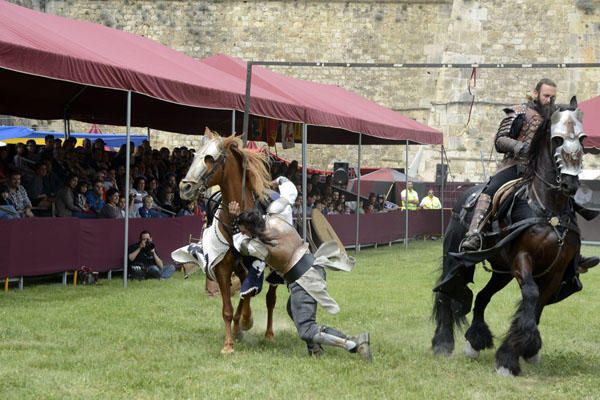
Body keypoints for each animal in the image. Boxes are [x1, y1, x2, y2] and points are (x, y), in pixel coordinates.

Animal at [179, 128, 276, 354]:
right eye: (194, 156)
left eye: (209, 158)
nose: (185, 188)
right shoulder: (223, 267)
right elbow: (228, 309)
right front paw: (229, 344)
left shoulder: (254, 267)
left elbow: (250, 293)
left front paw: (247, 321)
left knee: (270, 299)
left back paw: (268, 333)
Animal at [434, 99, 588, 376]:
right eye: (557, 139)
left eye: (582, 139)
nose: (570, 184)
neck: (549, 210)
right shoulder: (522, 259)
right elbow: (531, 294)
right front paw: (509, 357)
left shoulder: (556, 271)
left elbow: (538, 304)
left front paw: (524, 349)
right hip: (455, 258)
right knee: (445, 291)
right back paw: (443, 343)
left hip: (501, 272)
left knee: (482, 297)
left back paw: (475, 341)